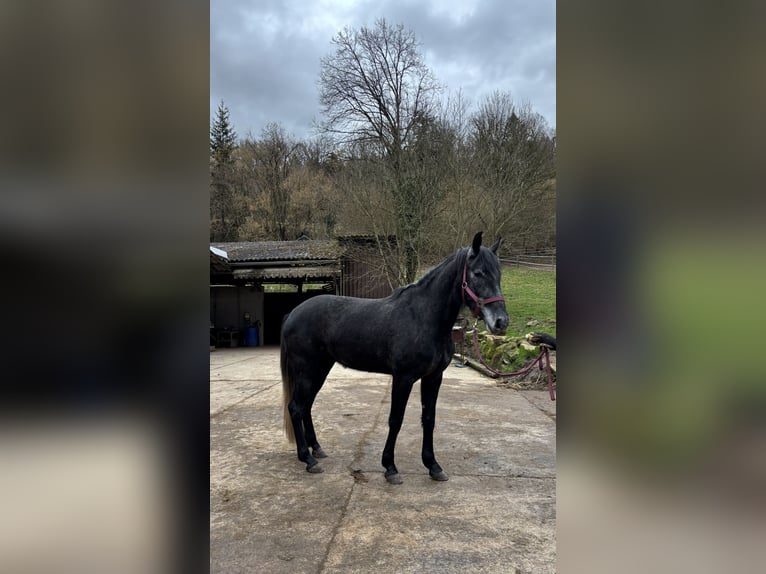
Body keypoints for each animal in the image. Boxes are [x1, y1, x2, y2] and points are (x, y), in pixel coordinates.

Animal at [281, 231, 509, 484]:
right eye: (478, 273)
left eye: (498, 273)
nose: (501, 322)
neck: (423, 317)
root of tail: (293, 313)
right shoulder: (403, 378)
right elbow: (395, 419)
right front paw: (390, 467)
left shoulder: (434, 377)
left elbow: (429, 419)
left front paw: (433, 466)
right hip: (307, 370)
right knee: (296, 407)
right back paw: (308, 459)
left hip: (320, 369)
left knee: (307, 405)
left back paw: (317, 449)